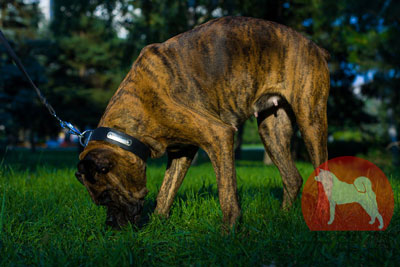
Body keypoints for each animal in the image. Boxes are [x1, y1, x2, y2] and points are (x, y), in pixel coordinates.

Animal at [76, 16, 332, 229]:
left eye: (106, 197)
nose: (111, 225)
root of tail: (315, 46)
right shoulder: (182, 151)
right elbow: (166, 191)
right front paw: (157, 225)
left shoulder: (219, 136)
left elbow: (225, 192)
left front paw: (228, 230)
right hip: (272, 131)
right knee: (292, 178)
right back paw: (282, 217)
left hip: (310, 120)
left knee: (324, 174)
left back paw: (321, 217)